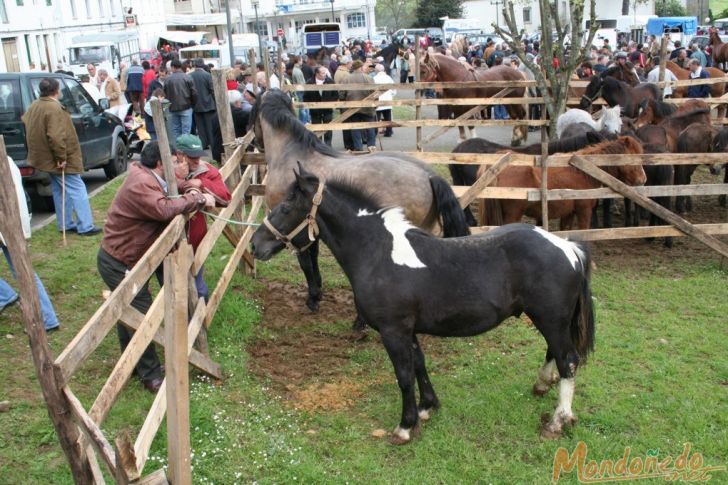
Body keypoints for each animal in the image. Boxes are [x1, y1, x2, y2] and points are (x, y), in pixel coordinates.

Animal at [252, 166, 596, 442]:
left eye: (286, 206)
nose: (256, 245)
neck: (377, 252)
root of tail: (568, 247)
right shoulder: (408, 330)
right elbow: (419, 365)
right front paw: (427, 408)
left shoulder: (392, 331)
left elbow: (404, 375)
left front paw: (405, 426)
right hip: (550, 320)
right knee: (555, 354)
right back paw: (541, 386)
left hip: (550, 319)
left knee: (568, 361)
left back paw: (558, 421)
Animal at [478, 135, 648, 228]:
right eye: (634, 158)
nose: (643, 179)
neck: (583, 171)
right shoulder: (584, 211)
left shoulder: (569, 214)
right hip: (512, 215)